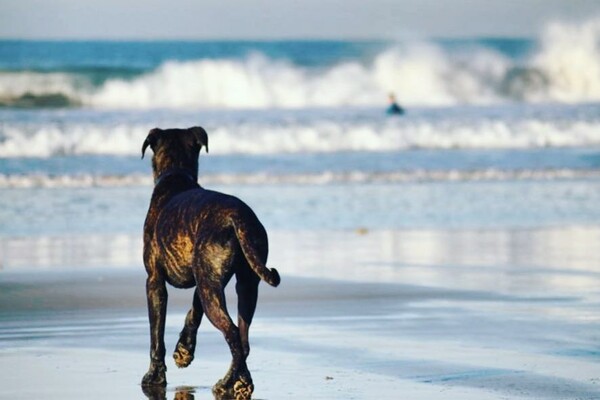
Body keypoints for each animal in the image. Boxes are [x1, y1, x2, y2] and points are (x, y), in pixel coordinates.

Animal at [141, 126, 282, 398]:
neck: (176, 174)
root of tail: (238, 218)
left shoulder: (154, 282)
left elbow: (156, 335)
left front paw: (154, 376)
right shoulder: (204, 279)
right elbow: (193, 312)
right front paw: (184, 350)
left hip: (212, 289)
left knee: (233, 333)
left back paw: (228, 383)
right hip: (242, 285)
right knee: (243, 338)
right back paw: (239, 379)